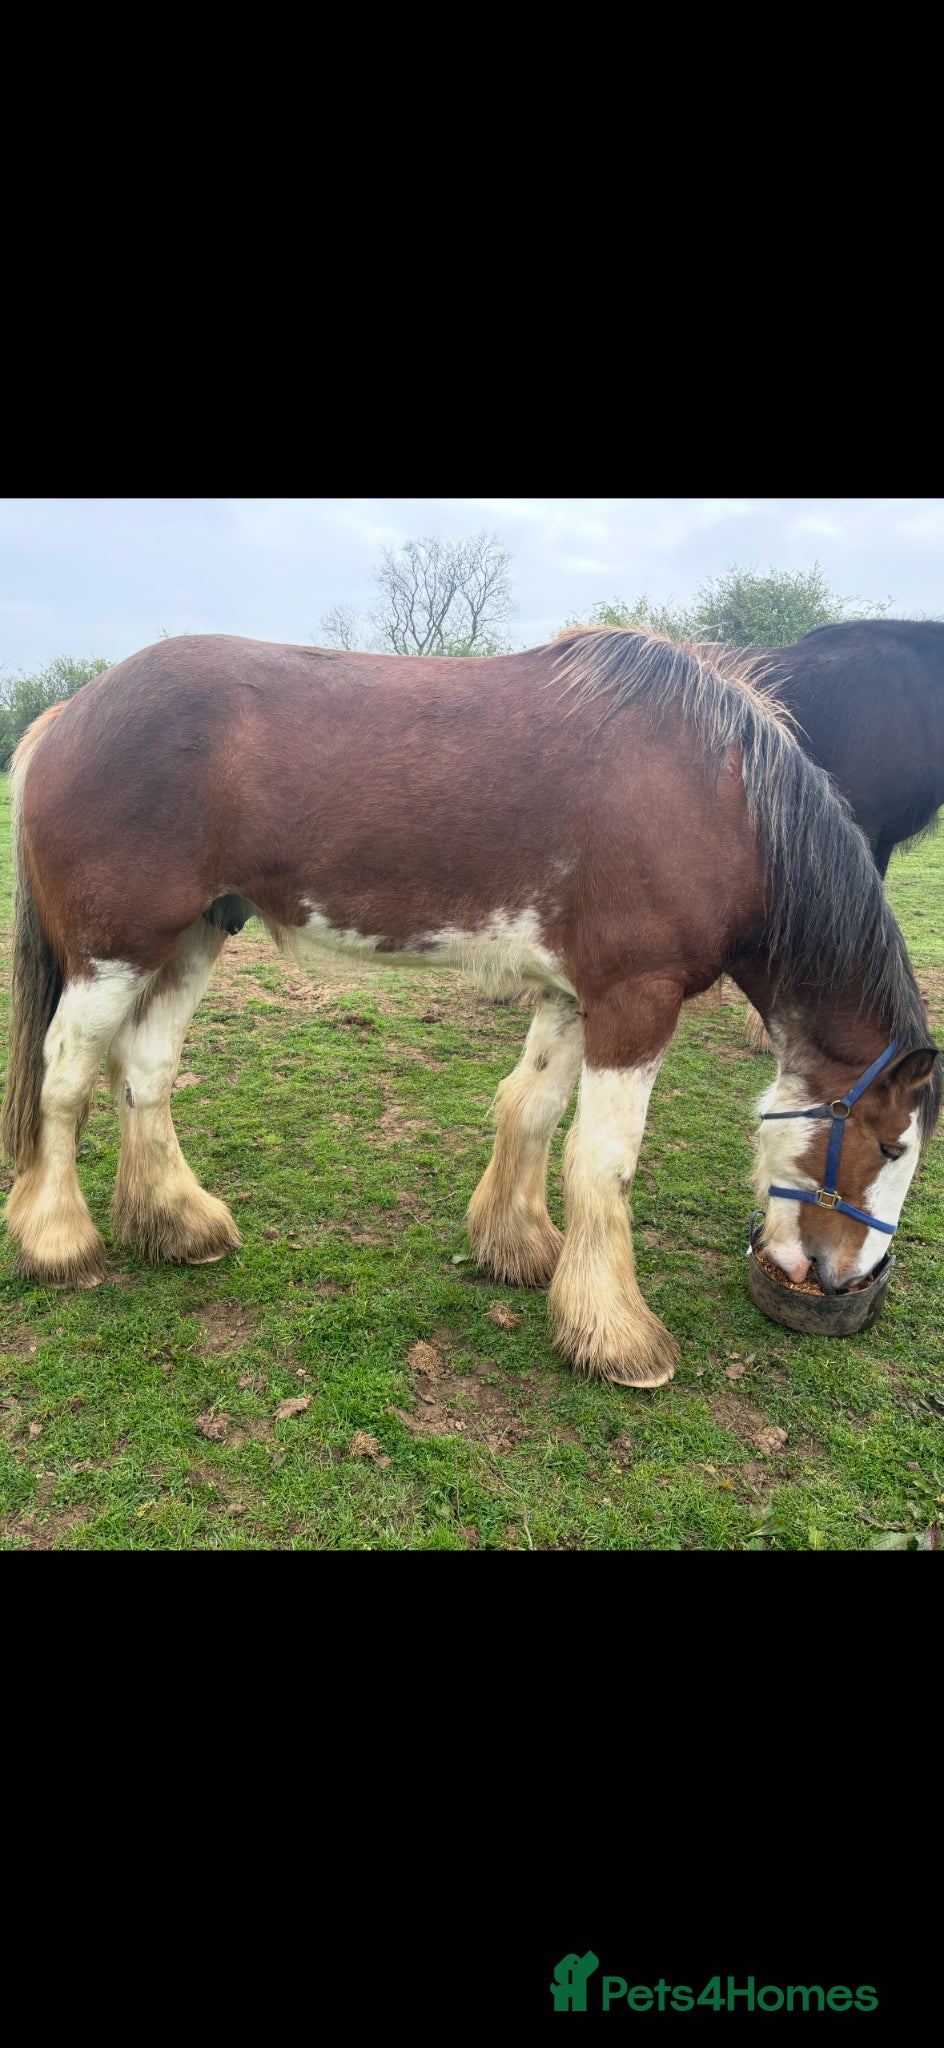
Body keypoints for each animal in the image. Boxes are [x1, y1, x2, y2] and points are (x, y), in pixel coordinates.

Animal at [2, 628, 939, 1390]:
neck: (720, 797)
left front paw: (519, 1248)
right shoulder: (637, 998)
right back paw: (59, 1242)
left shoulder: (572, 995)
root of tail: (69, 714)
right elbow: (605, 1161)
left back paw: (177, 1223)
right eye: (891, 1146)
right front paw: (617, 1335)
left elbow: (532, 1110)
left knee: (145, 1071)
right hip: (115, 953)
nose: (844, 1280)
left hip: (192, 936)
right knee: (65, 1081)